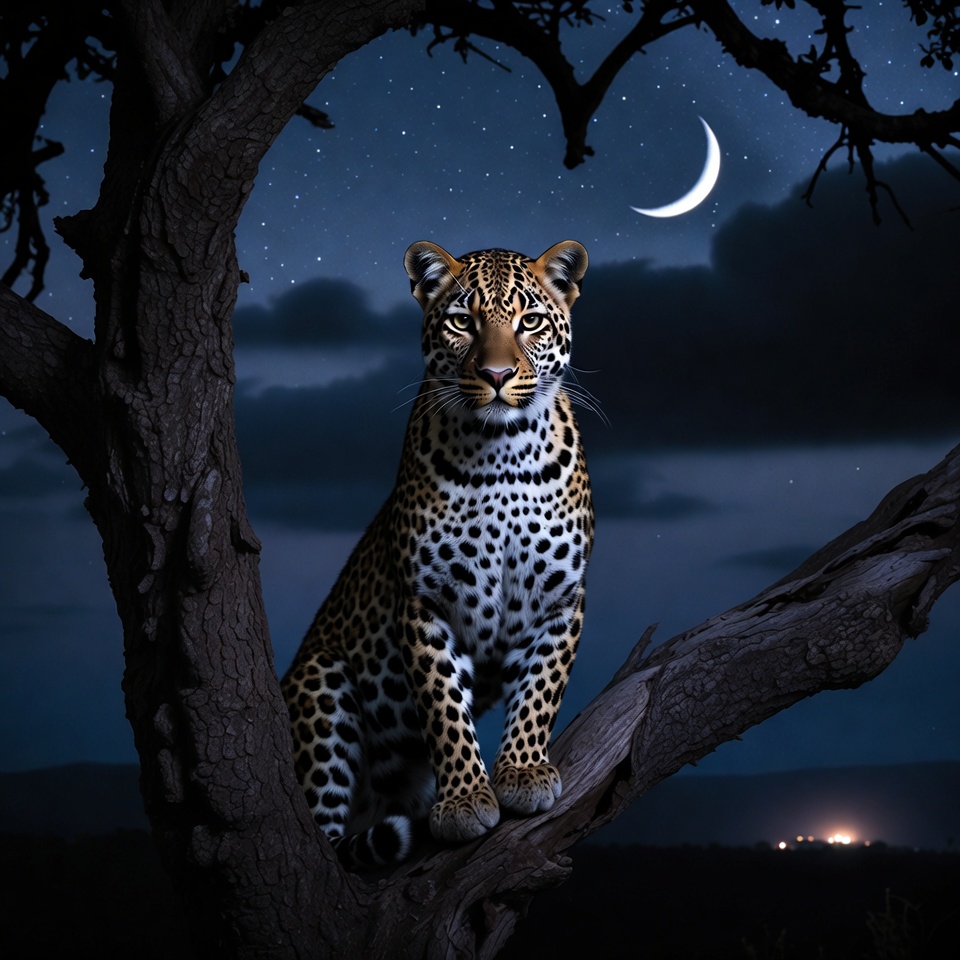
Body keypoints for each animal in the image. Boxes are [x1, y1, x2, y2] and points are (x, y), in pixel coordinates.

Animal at [281, 239, 593, 868]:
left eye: (529, 321)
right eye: (461, 321)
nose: (496, 374)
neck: (503, 454)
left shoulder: (562, 599)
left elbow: (540, 691)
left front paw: (523, 771)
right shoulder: (425, 603)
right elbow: (444, 706)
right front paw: (466, 799)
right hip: (320, 686)